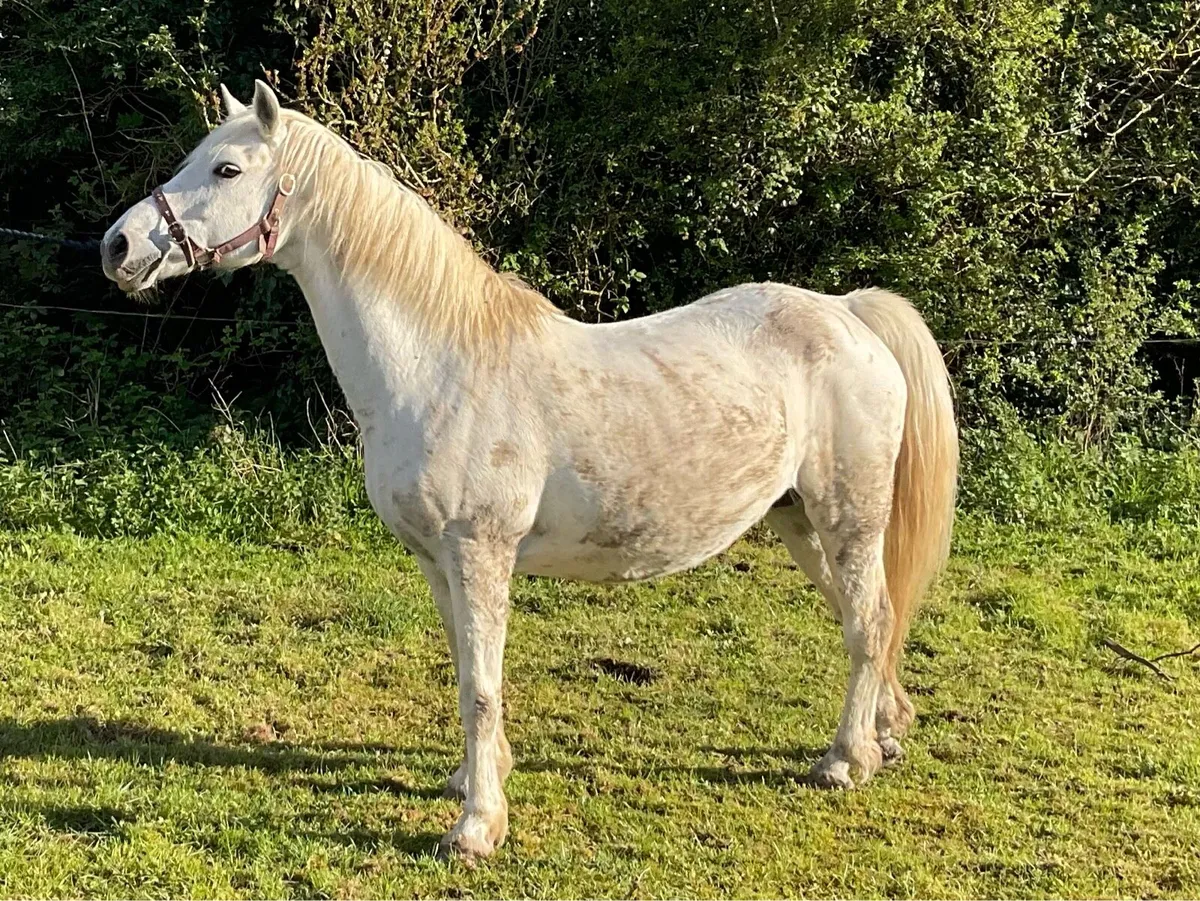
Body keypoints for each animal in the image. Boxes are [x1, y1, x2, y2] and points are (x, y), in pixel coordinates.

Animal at [102, 80, 958, 862]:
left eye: (226, 168)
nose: (117, 247)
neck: (441, 366)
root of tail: (848, 312)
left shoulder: (481, 551)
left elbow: (482, 688)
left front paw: (476, 827)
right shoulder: (437, 560)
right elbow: (464, 673)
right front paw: (470, 781)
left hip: (848, 518)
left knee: (870, 621)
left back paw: (844, 761)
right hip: (800, 521)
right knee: (868, 622)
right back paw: (884, 736)